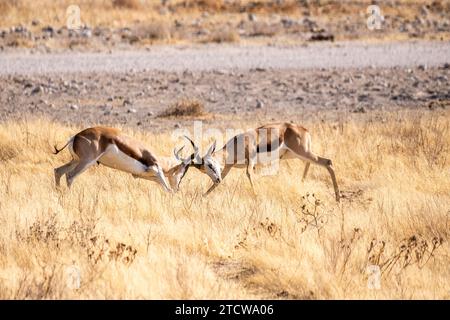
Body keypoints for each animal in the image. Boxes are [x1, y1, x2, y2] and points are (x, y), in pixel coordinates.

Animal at [52, 127, 197, 192]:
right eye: (184, 172)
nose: (178, 188)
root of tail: (75, 137)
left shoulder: (141, 175)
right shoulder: (156, 169)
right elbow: (167, 189)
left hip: (75, 160)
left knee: (58, 171)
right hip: (86, 162)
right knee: (70, 176)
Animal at [185, 123, 340, 202]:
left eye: (210, 164)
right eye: (204, 170)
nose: (216, 179)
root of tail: (303, 129)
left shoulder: (251, 161)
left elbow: (249, 174)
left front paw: (256, 197)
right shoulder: (228, 167)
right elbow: (219, 182)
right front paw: (203, 196)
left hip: (303, 152)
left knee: (328, 162)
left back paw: (338, 198)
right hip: (295, 155)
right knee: (310, 164)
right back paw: (302, 184)